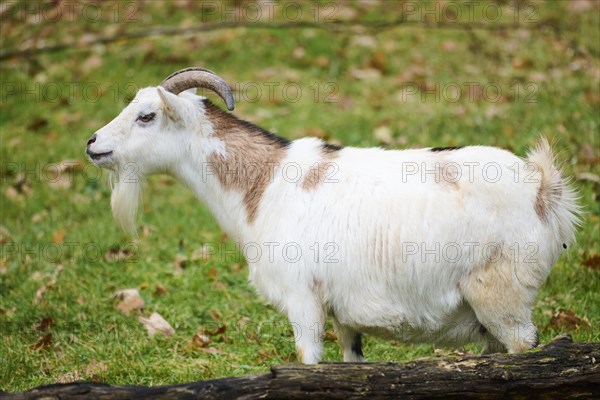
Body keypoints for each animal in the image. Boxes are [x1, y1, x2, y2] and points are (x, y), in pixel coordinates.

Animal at [86, 67, 580, 364]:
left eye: (146, 115)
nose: (92, 144)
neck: (264, 187)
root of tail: (543, 187)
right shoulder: (344, 314)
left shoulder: (303, 301)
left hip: (502, 298)